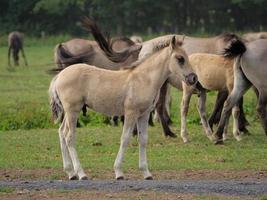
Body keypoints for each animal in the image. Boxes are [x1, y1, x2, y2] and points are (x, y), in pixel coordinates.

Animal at [49, 36, 198, 180]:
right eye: (180, 58)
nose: (193, 78)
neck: (143, 79)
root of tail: (60, 75)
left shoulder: (144, 115)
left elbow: (143, 140)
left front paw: (146, 173)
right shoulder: (131, 113)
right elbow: (125, 139)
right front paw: (119, 172)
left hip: (69, 112)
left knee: (61, 132)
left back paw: (71, 173)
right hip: (73, 111)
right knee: (69, 137)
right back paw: (81, 174)